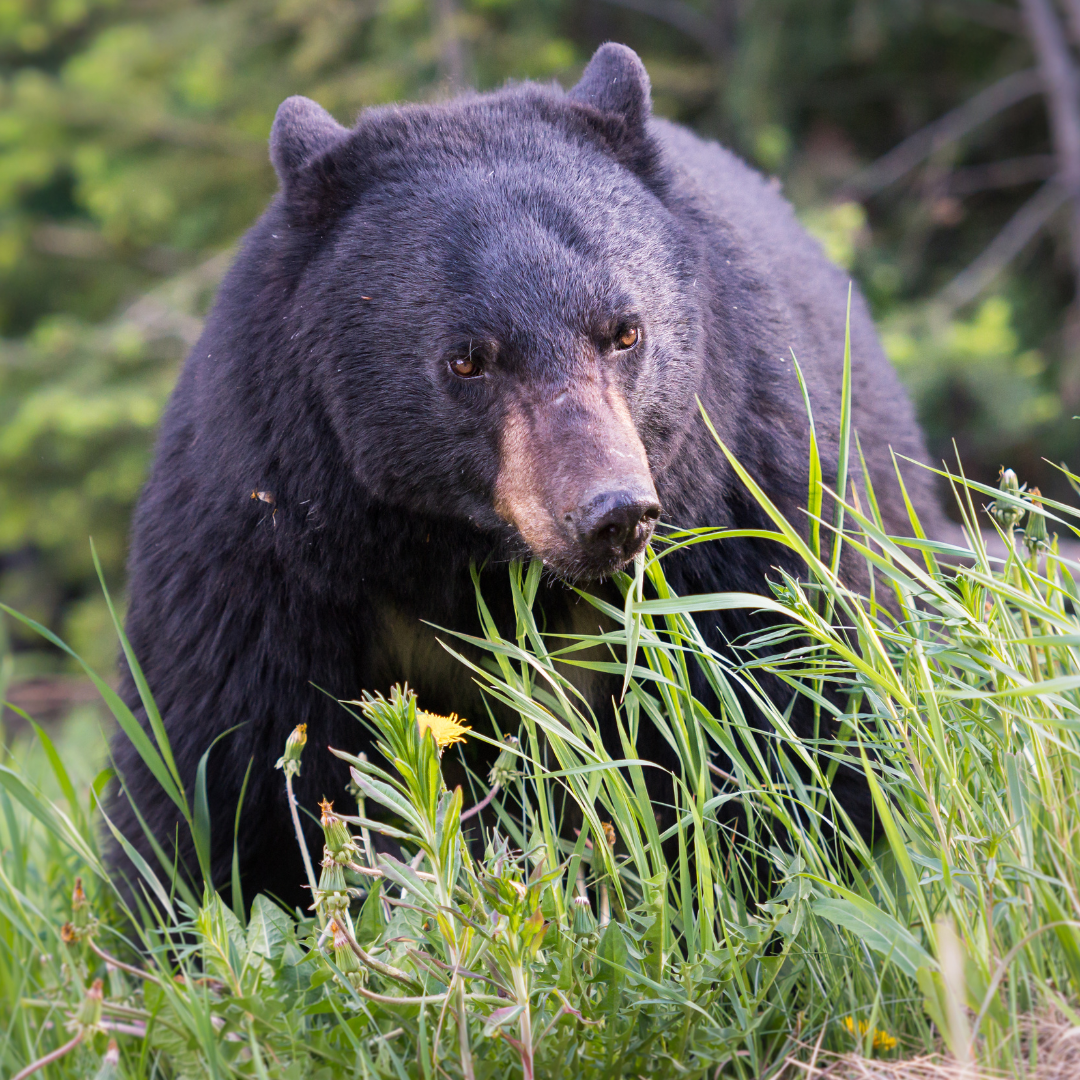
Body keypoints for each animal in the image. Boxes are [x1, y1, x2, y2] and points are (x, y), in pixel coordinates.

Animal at [108, 43, 943, 909]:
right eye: (467, 359)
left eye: (625, 331)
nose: (612, 511)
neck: (470, 561)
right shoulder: (267, 549)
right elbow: (221, 768)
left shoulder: (739, 497)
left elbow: (792, 698)